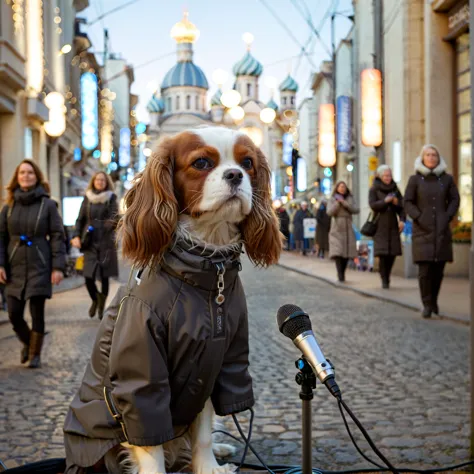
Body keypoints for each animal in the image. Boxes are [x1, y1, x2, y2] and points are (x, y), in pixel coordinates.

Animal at [118, 124, 282, 472]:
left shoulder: (212, 365)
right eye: (202, 163)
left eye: (247, 163)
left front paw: (208, 466)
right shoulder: (144, 380)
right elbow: (150, 442)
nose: (235, 174)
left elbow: (204, 432)